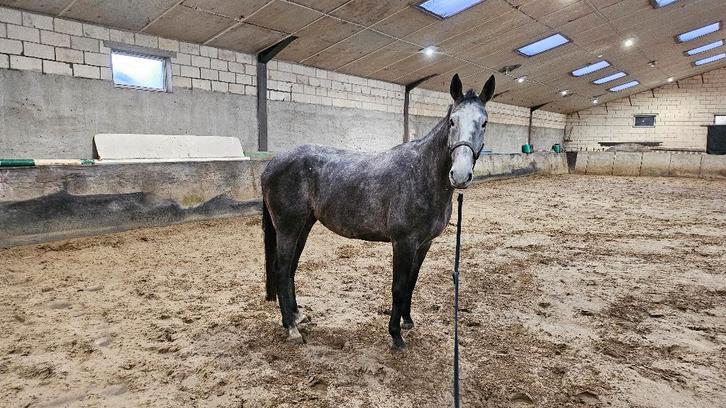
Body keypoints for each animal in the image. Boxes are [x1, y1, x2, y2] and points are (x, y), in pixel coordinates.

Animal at [261, 73, 495, 349]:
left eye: (484, 123)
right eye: (452, 121)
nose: (459, 175)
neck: (422, 173)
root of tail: (271, 164)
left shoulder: (424, 244)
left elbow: (412, 282)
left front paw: (407, 321)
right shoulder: (403, 242)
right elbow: (398, 286)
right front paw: (395, 335)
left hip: (304, 225)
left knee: (290, 269)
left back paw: (297, 316)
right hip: (288, 227)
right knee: (281, 269)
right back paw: (291, 328)